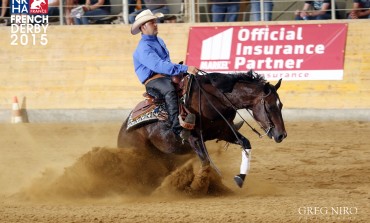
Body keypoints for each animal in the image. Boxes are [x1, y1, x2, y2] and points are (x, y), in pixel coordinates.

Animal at [117, 71, 288, 171]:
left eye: (281, 105)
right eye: (270, 106)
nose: (282, 135)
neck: (214, 99)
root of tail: (123, 130)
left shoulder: (224, 132)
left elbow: (245, 143)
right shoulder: (194, 139)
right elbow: (206, 162)